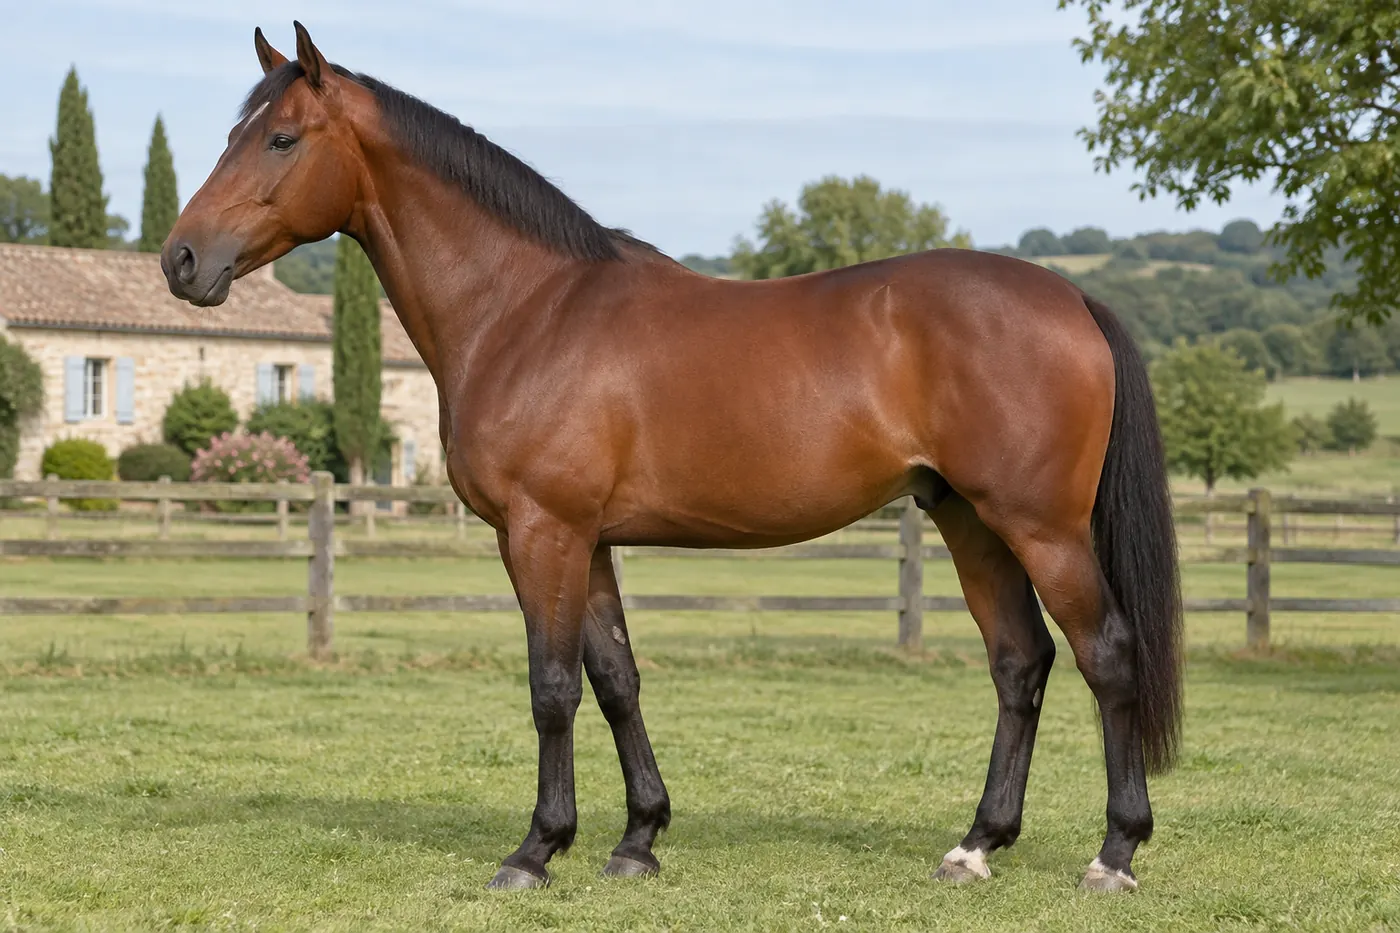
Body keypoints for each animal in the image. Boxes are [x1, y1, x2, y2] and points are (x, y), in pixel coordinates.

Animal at [161, 22, 1183, 894]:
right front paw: (637, 839)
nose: (180, 260)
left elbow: (551, 687)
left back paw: (1115, 853)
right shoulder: (589, 540)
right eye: (234, 133)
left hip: (1041, 527)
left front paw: (535, 850)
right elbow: (616, 680)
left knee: (1105, 654)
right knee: (1020, 663)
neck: (526, 308)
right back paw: (975, 846)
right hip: (970, 520)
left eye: (281, 139)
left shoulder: (541, 532)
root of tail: (1070, 296)